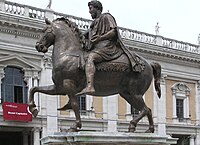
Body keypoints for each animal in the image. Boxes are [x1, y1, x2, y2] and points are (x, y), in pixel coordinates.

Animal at [28, 17, 161, 133]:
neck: (67, 54)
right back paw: (149, 129)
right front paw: (33, 108)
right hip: (127, 94)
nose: (38, 46)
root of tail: (149, 64)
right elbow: (34, 88)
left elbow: (75, 104)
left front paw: (75, 125)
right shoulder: (59, 88)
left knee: (145, 109)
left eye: (45, 31)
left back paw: (133, 125)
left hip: (135, 93)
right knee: (147, 110)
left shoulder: (68, 84)